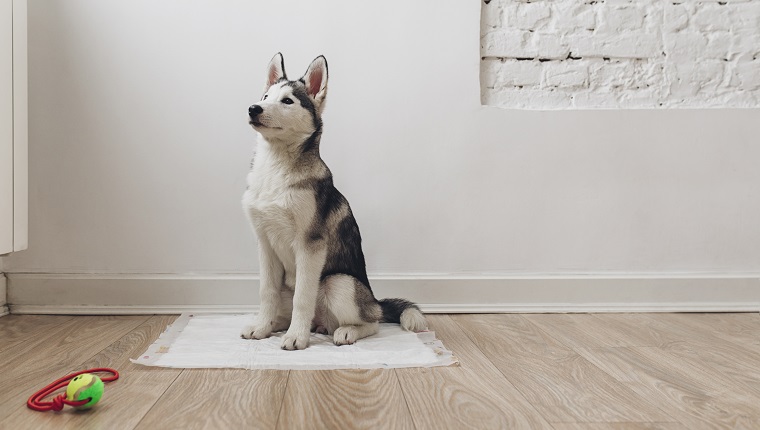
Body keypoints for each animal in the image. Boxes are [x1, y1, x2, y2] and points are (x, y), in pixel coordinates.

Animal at [239, 53, 428, 350]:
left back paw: (344, 331)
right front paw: (261, 327)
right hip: (292, 284)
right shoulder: (265, 244)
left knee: (372, 323)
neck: (274, 169)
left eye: (288, 101)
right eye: (266, 96)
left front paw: (297, 337)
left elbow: (302, 298)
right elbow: (266, 292)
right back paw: (277, 325)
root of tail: (374, 302)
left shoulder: (310, 246)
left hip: (338, 282)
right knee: (286, 307)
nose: (253, 108)